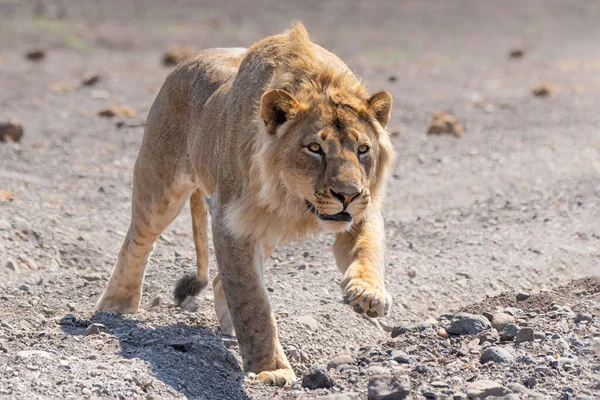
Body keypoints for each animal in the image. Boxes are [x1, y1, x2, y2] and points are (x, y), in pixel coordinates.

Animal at [96, 22, 396, 388]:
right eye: (314, 148)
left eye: (363, 149)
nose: (347, 194)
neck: (292, 200)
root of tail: (187, 62)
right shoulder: (230, 223)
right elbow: (252, 302)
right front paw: (270, 368)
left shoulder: (360, 212)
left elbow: (368, 251)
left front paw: (368, 295)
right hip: (160, 186)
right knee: (136, 242)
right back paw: (116, 307)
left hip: (262, 232)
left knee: (218, 280)